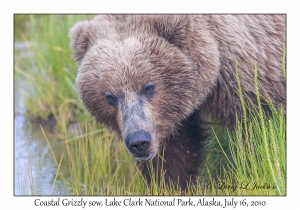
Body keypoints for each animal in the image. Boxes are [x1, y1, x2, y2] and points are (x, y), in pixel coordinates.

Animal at [69, 14, 286, 189]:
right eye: (110, 96)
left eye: (148, 87)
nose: (139, 142)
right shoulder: (169, 117)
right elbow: (175, 154)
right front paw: (169, 184)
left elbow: (261, 136)